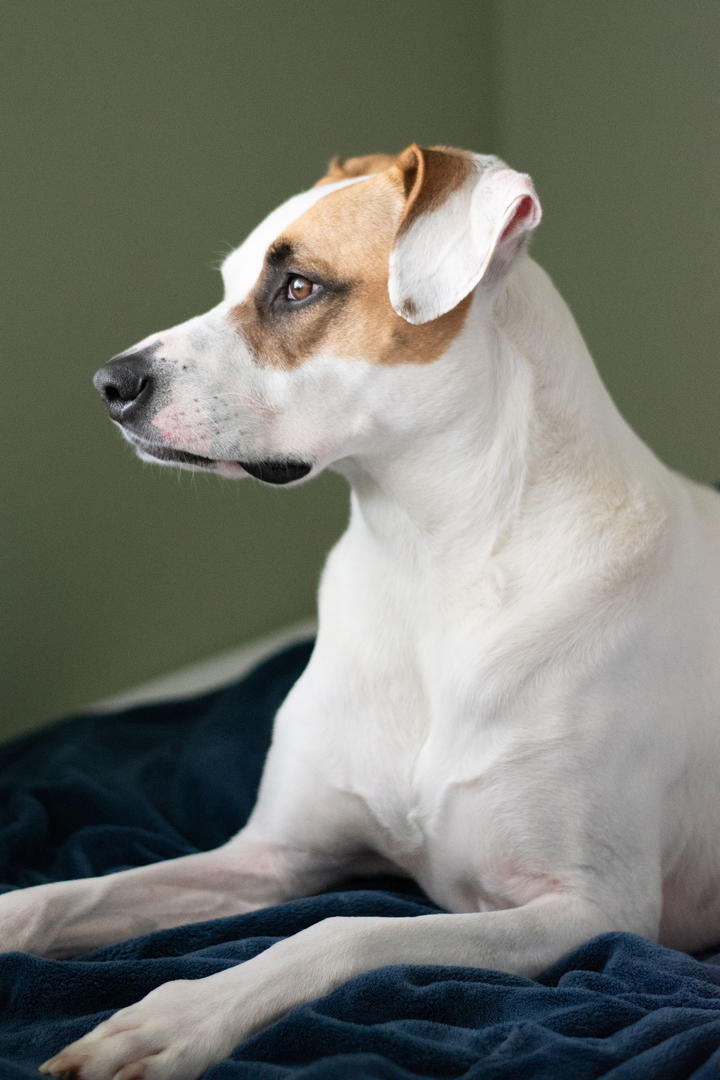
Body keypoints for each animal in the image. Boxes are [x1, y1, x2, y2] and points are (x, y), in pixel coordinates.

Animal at [5, 145, 720, 1080]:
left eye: (298, 287)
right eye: (232, 280)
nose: (108, 384)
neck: (426, 565)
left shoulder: (590, 910)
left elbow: (340, 930)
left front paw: (178, 1016)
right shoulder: (267, 857)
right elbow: (67, 895)